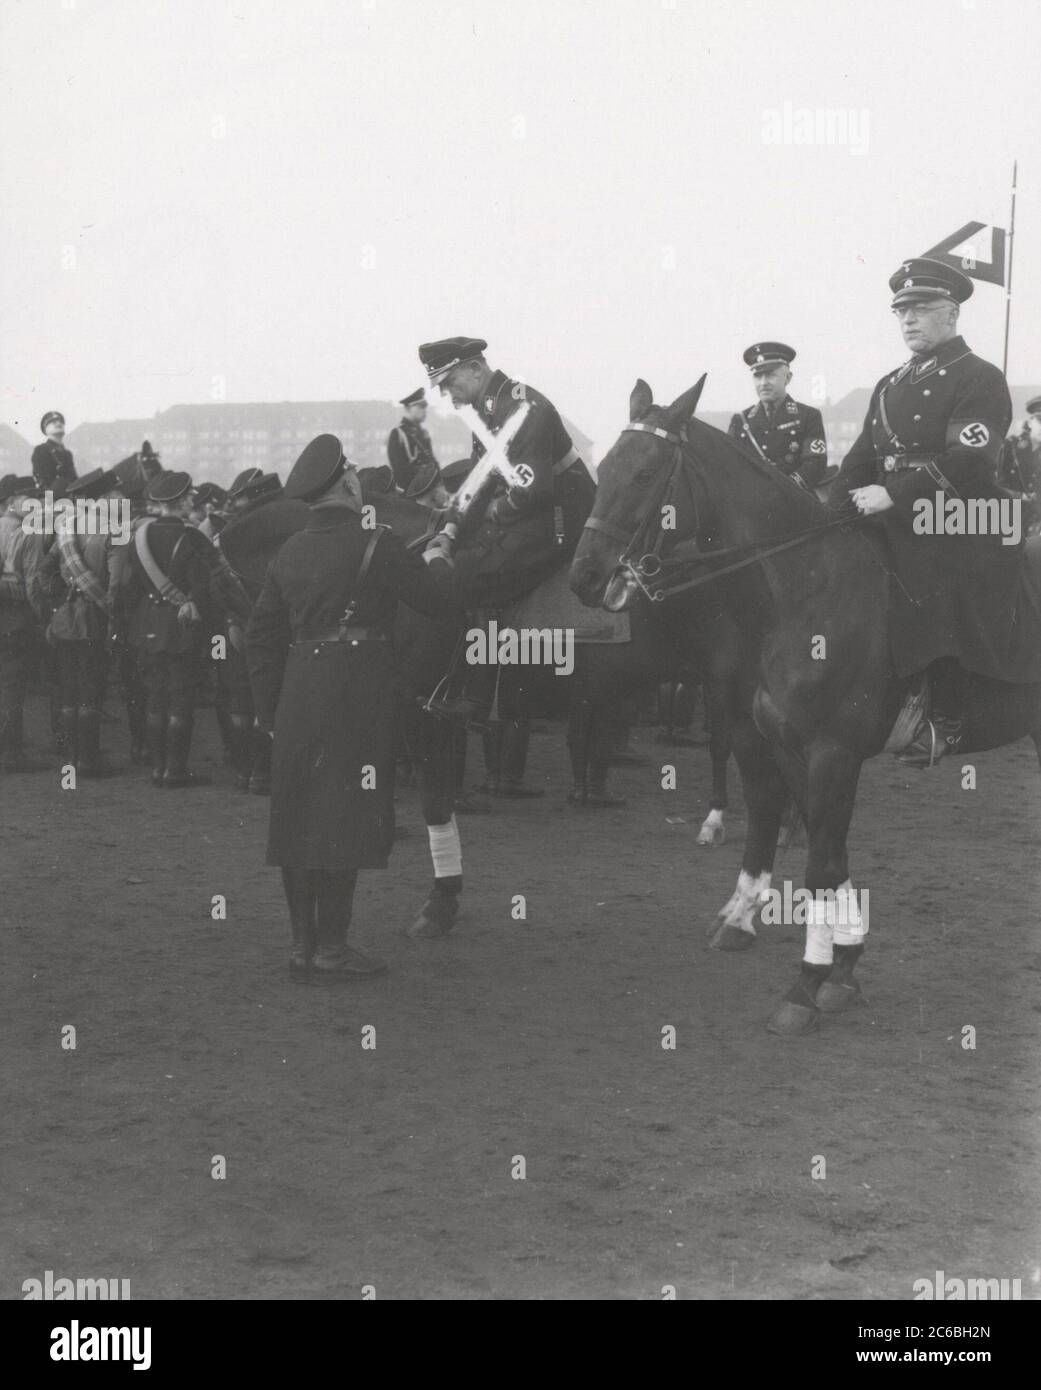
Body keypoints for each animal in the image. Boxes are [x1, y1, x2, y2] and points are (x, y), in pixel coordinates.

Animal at [569, 378, 1039, 1034]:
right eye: (605, 466)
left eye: (644, 474)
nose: (585, 577)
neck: (802, 590)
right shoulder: (782, 740)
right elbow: (822, 847)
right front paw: (843, 965)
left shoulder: (831, 752)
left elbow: (815, 860)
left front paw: (806, 983)